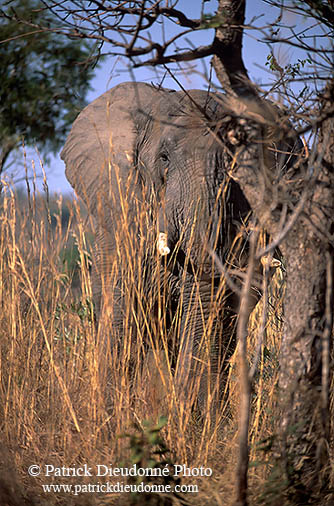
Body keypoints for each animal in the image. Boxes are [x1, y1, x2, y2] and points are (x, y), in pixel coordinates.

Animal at [60, 80, 298, 420]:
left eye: (233, 162)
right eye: (163, 158)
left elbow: (204, 311)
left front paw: (194, 422)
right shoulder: (123, 209)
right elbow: (123, 306)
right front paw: (111, 418)